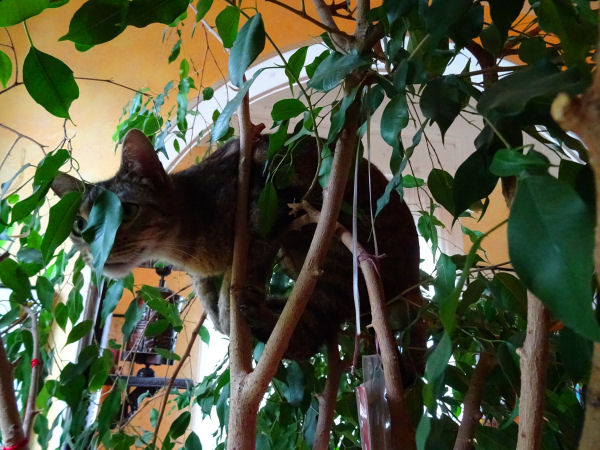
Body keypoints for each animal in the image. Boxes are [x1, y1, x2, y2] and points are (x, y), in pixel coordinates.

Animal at [52, 129, 425, 372]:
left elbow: (248, 258)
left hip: (334, 259)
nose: (96, 249)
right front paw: (218, 312)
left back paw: (261, 313)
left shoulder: (270, 195)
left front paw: (230, 307)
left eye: (126, 211)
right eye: (79, 225)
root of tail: (414, 284)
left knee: (308, 336)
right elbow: (206, 294)